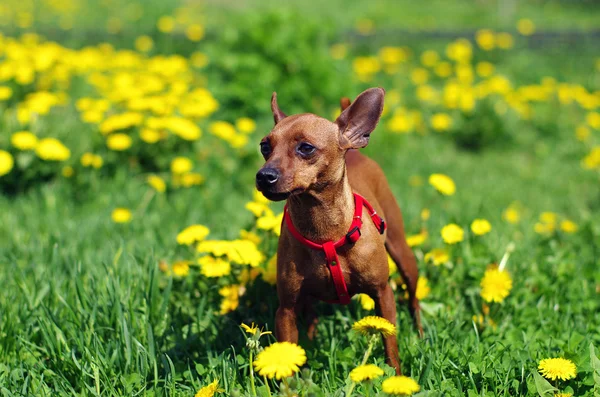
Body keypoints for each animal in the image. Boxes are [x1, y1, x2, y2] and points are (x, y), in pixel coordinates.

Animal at [255, 85, 420, 372]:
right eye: (265, 146)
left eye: (306, 148)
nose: (264, 176)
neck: (324, 230)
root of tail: (356, 150)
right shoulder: (286, 310)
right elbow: (287, 355)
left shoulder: (383, 295)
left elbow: (390, 347)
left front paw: (396, 375)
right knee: (311, 316)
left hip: (403, 254)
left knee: (413, 297)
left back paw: (421, 332)